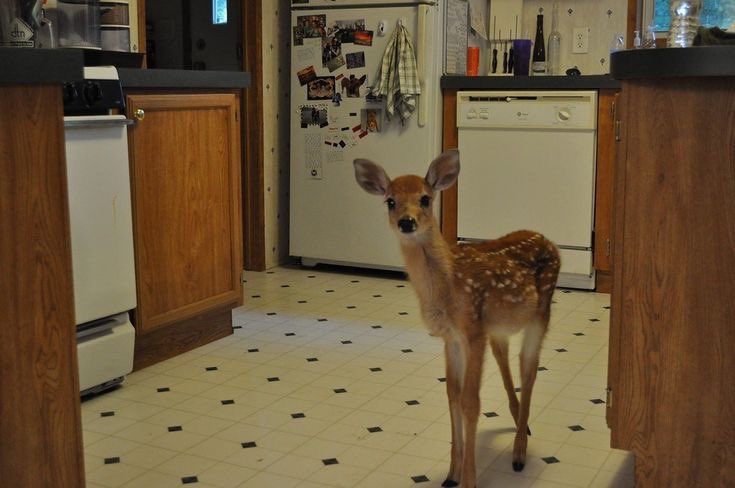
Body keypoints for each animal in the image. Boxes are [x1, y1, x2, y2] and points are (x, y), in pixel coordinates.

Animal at [353, 149, 560, 488]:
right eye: (390, 201)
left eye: (425, 199)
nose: (407, 222)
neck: (449, 285)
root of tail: (549, 241)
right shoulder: (451, 337)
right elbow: (451, 394)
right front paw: (452, 473)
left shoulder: (472, 332)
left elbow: (470, 401)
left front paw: (469, 480)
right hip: (498, 328)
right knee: (506, 361)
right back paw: (521, 423)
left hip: (541, 313)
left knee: (529, 370)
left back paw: (519, 452)